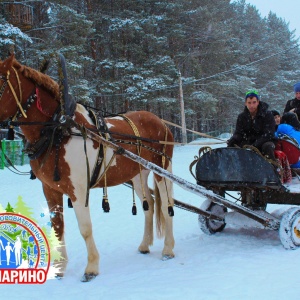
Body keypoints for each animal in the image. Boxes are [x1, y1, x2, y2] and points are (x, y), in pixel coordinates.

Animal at [0, 54, 176, 282]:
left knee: (166, 205)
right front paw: (60, 267)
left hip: (163, 169)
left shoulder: (79, 189)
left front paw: (91, 267)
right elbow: (57, 227)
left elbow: (85, 228)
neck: (59, 130)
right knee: (151, 205)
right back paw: (145, 245)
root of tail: (160, 122)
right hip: (138, 174)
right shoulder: (50, 189)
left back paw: (168, 249)